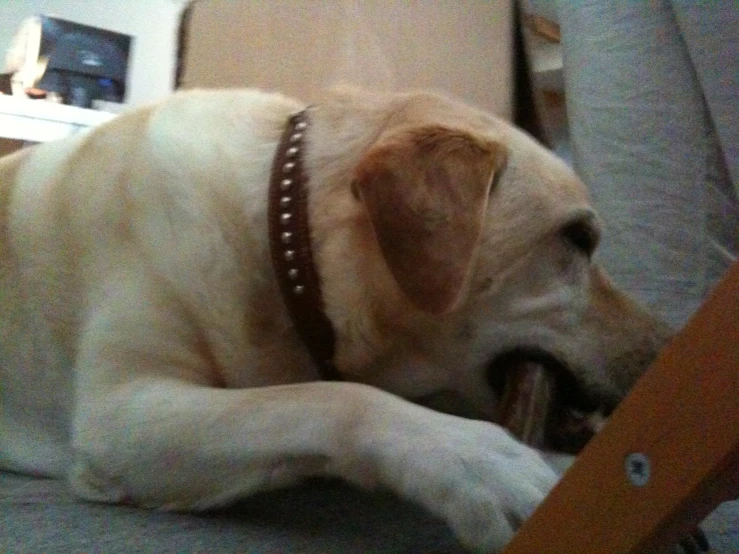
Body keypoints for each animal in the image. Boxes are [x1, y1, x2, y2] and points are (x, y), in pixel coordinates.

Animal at [0, 88, 672, 548]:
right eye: (578, 238)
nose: (668, 350)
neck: (280, 238)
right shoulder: (121, 413)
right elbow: (327, 398)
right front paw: (479, 460)